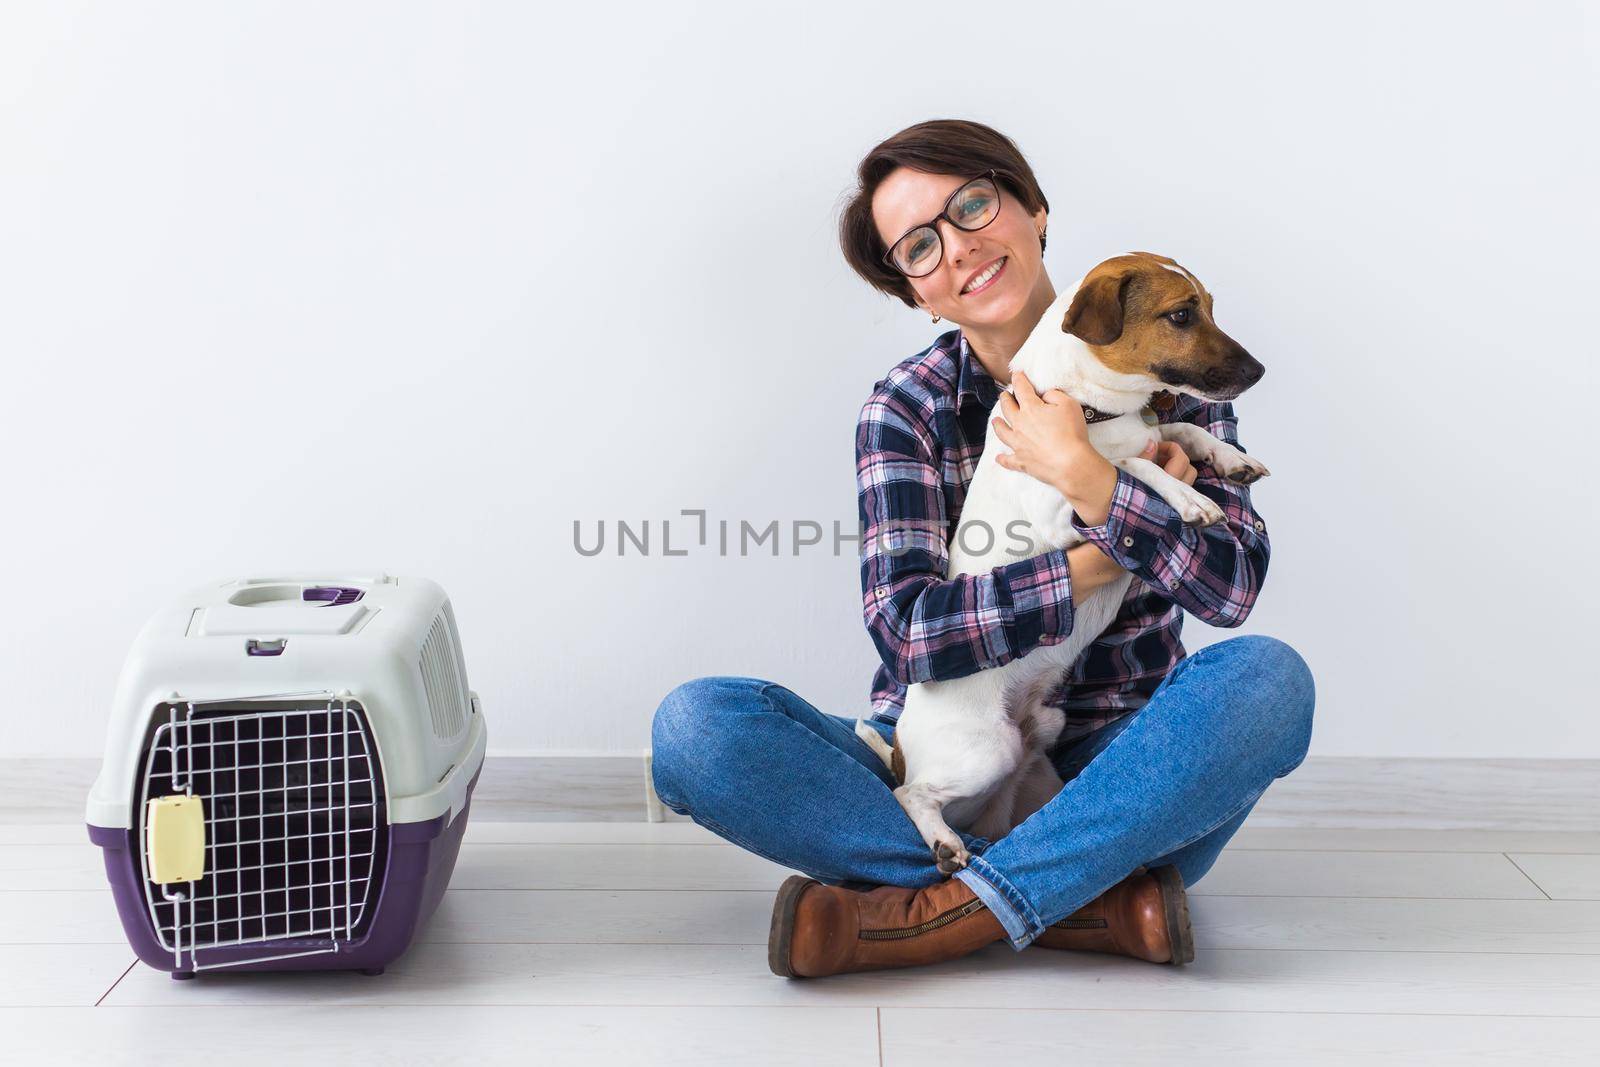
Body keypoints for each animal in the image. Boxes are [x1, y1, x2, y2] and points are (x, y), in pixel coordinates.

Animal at [857, 254, 1267, 870]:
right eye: (1181, 315)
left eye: (1210, 308)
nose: (1260, 369)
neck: (1087, 410)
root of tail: (901, 750)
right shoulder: (1058, 513)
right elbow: (1131, 469)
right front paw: (1188, 497)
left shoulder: (1147, 432)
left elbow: (1179, 429)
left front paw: (1226, 457)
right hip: (986, 750)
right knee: (909, 794)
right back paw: (944, 843)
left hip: (1038, 745)